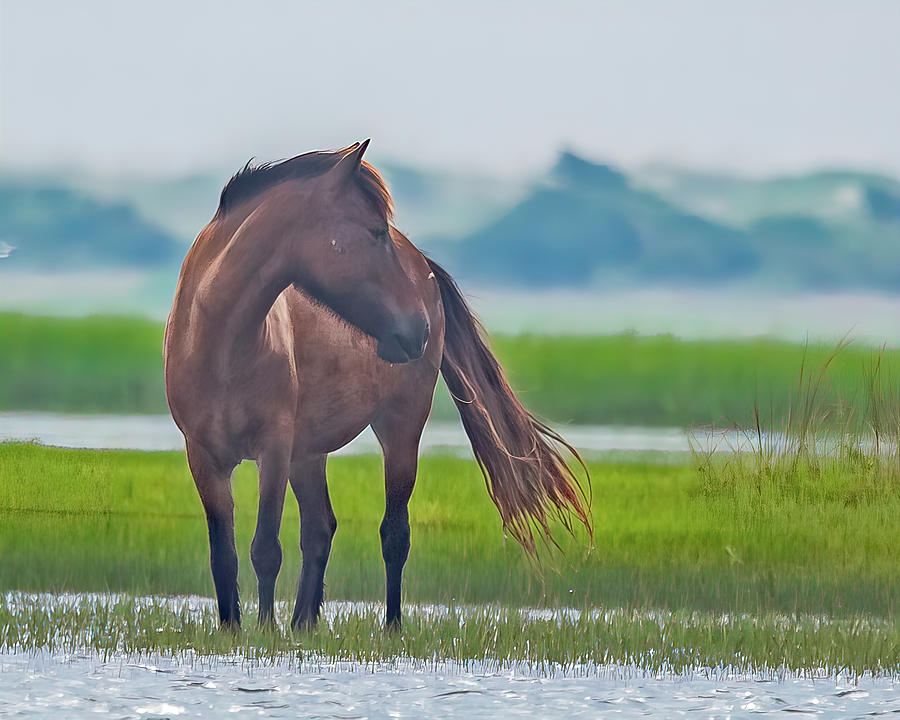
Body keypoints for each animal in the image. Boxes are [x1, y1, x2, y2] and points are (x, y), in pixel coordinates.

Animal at [163, 142, 592, 632]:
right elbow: (225, 556)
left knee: (394, 534)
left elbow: (265, 549)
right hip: (308, 453)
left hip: (398, 429)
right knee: (320, 529)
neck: (223, 342)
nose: (417, 328)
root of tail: (424, 268)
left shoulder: (273, 449)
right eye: (373, 231)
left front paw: (265, 632)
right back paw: (304, 623)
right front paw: (234, 630)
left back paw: (391, 626)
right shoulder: (205, 458)